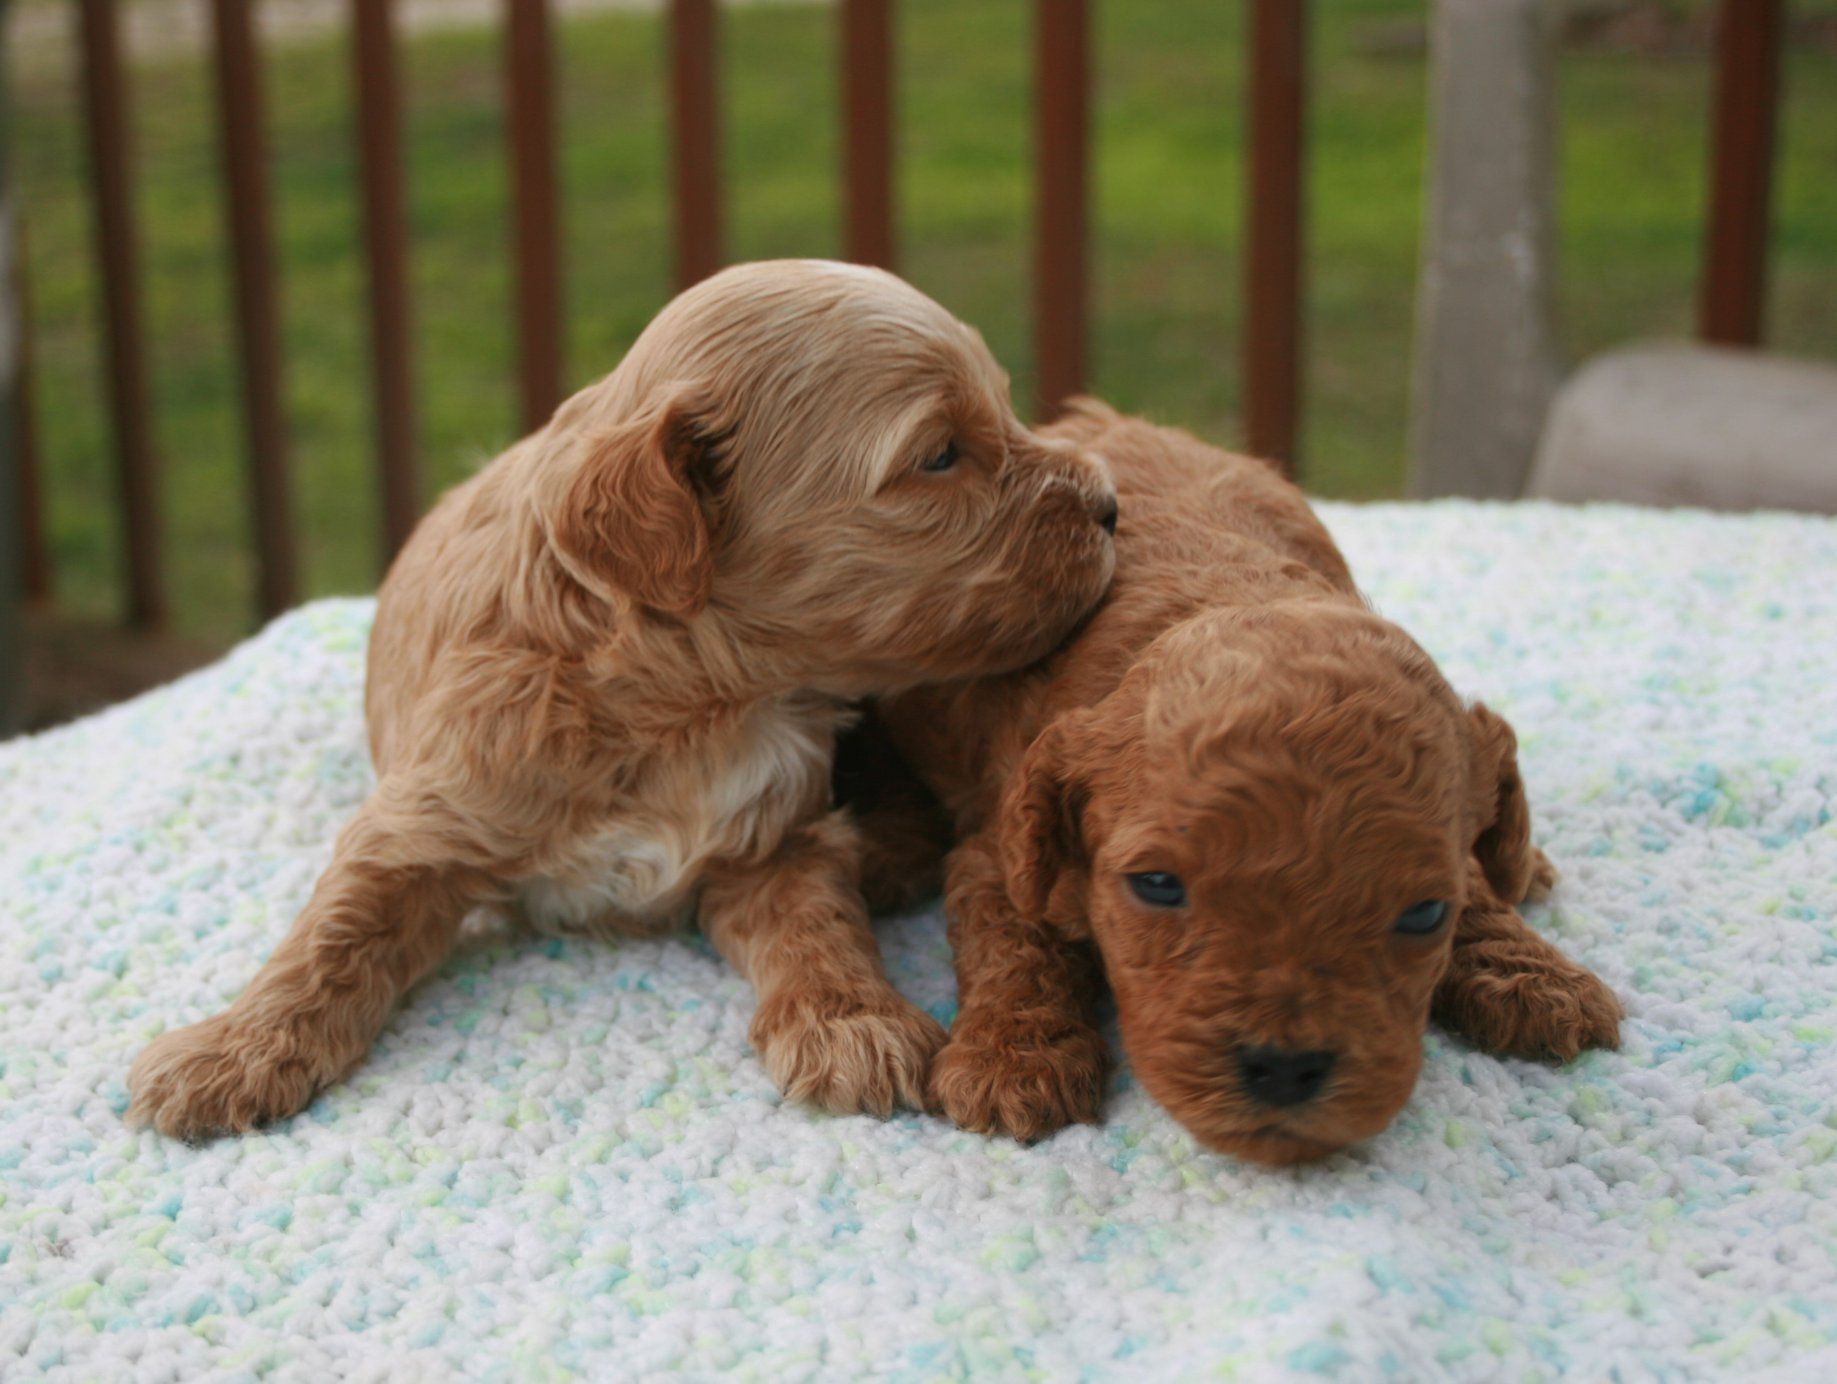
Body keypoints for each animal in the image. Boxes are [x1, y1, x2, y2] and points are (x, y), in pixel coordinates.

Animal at [129, 259, 1109, 1132]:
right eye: (938, 454)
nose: (1108, 505)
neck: (686, 705)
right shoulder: (426, 816)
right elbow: (333, 935)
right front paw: (232, 1052)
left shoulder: (773, 836)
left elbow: (818, 923)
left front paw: (849, 1022)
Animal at [863, 404, 1623, 1161]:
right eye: (1156, 885)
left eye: (1424, 914)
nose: (1285, 1069)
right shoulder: (1002, 842)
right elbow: (1017, 944)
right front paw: (1015, 1061)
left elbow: (1476, 883)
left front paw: (1534, 976)